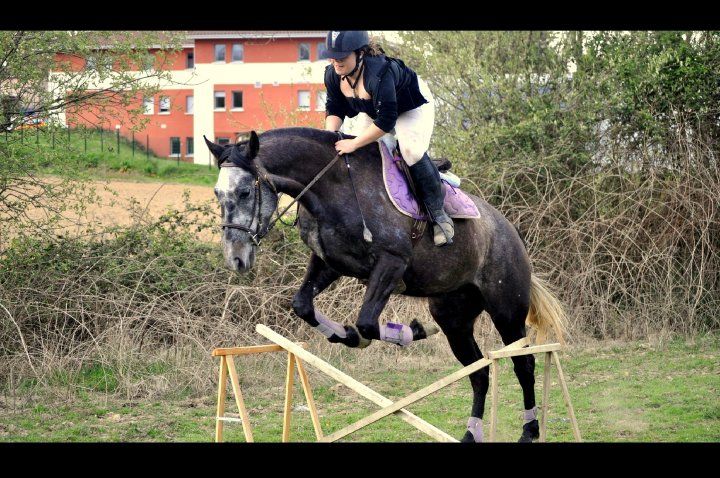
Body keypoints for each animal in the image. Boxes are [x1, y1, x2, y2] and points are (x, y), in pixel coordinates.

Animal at [205, 127, 566, 443]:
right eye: (217, 194)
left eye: (245, 192)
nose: (236, 259)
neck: (334, 190)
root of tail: (510, 231)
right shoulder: (330, 263)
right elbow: (303, 305)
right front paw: (346, 335)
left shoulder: (391, 264)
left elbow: (366, 322)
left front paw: (407, 332)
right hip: (454, 318)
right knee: (479, 373)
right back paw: (471, 433)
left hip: (506, 310)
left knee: (523, 363)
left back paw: (530, 430)